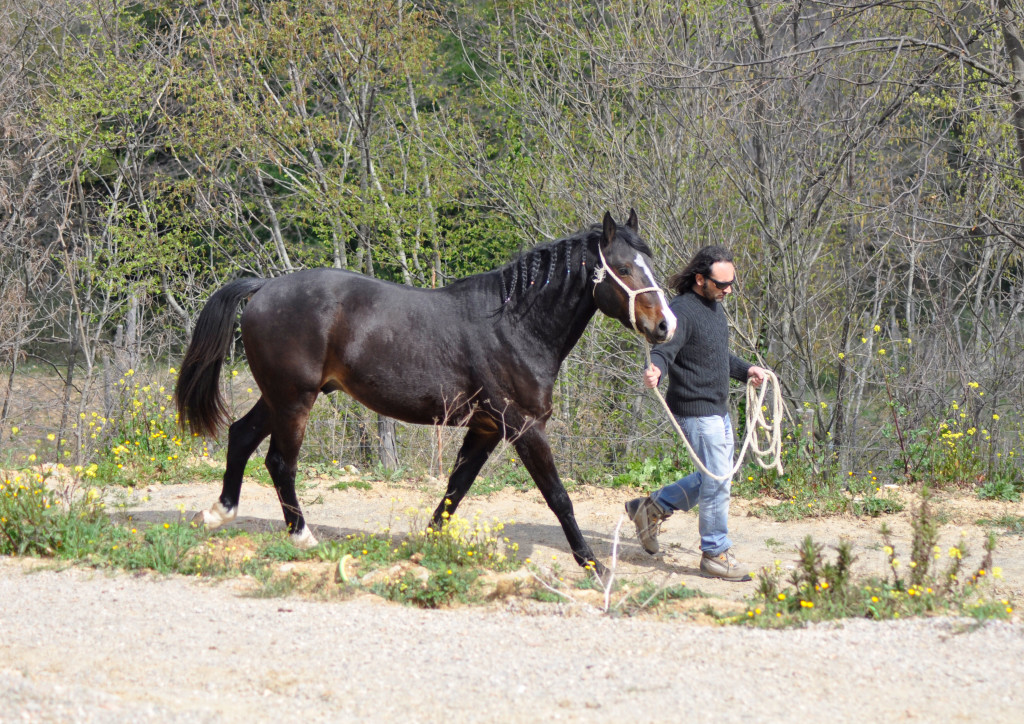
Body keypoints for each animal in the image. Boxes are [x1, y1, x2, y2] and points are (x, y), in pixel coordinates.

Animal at [174, 209, 679, 573]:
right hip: (294, 399)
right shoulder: (523, 426)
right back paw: (302, 536)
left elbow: (457, 488)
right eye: (623, 268)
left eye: (651, 264)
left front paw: (427, 547)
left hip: (279, 397)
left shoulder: (486, 427)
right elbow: (557, 496)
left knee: (241, 436)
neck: (513, 325)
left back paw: (218, 513)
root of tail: (264, 287)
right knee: (280, 462)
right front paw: (592, 564)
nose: (666, 326)